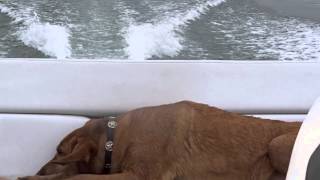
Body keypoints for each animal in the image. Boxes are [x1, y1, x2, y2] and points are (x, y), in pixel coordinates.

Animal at [18, 101, 302, 180]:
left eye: (59, 150)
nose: (38, 170)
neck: (116, 139)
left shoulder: (139, 176)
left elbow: (79, 177)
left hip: (276, 147)